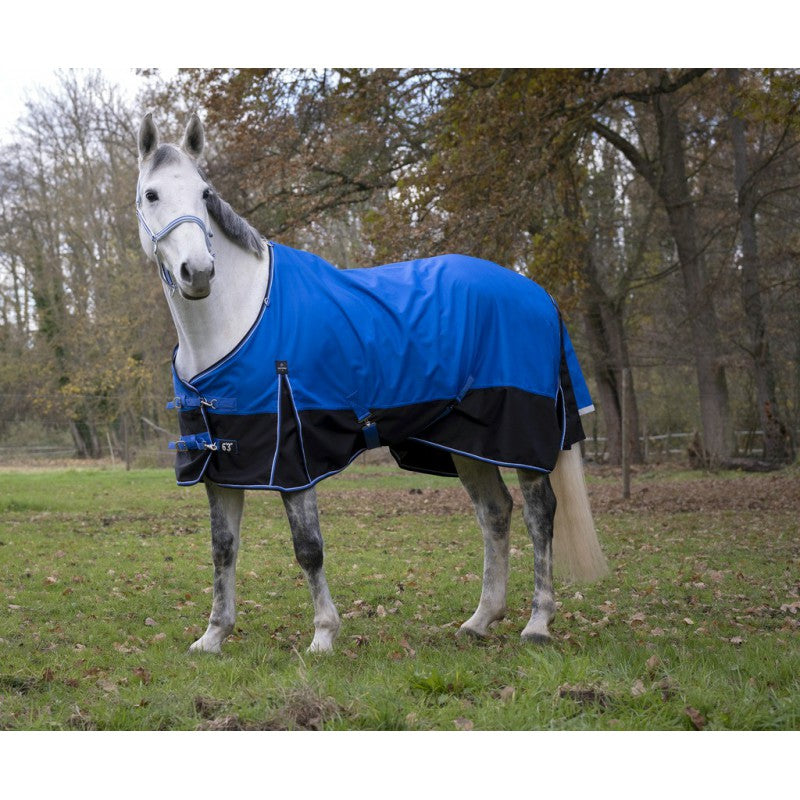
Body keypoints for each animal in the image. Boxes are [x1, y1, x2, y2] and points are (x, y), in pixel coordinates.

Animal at [135, 112, 608, 654]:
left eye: (205, 193)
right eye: (151, 194)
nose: (197, 272)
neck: (238, 319)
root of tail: (538, 294)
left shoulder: (292, 460)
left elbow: (308, 548)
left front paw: (323, 635)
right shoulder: (223, 465)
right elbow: (223, 549)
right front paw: (214, 636)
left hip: (520, 439)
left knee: (538, 514)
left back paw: (537, 623)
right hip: (470, 441)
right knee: (495, 513)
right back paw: (480, 620)